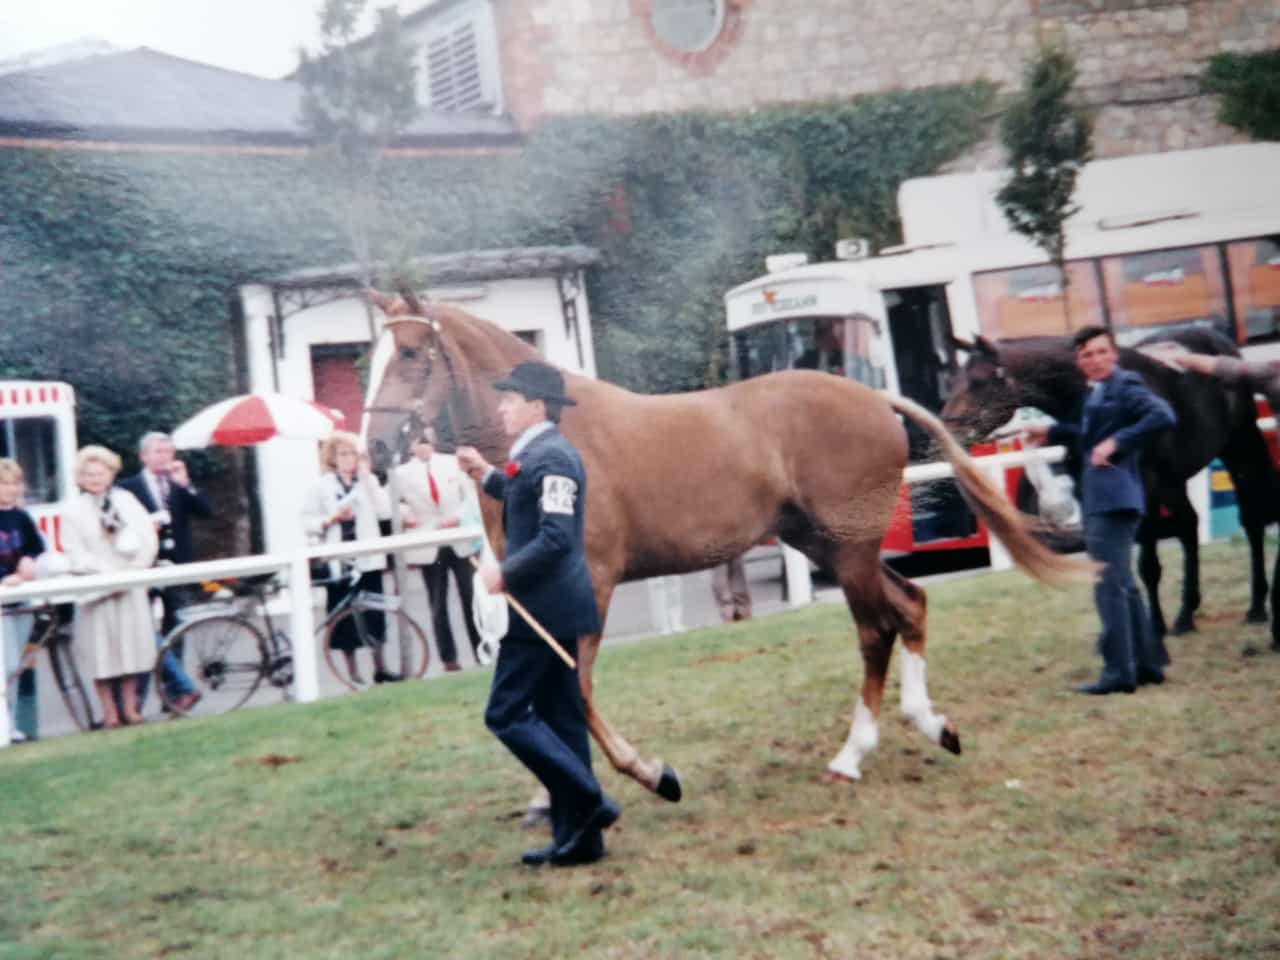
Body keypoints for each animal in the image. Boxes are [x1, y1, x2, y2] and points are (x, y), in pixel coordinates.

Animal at [362, 290, 1090, 806]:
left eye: (411, 354)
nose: (374, 450)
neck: (551, 432)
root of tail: (874, 398)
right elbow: (552, 688)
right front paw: (557, 793)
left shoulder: (591, 581)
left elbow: (577, 684)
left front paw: (649, 772)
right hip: (825, 545)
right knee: (909, 605)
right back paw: (931, 725)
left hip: (849, 550)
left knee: (875, 629)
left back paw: (852, 755)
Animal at [941, 330, 1280, 646]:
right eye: (953, 380)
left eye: (979, 380)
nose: (946, 426)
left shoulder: (1145, 492)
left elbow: (1147, 564)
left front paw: (1155, 628)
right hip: (1174, 480)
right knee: (1188, 526)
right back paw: (1187, 614)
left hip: (1238, 448)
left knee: (1250, 521)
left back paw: (1255, 607)